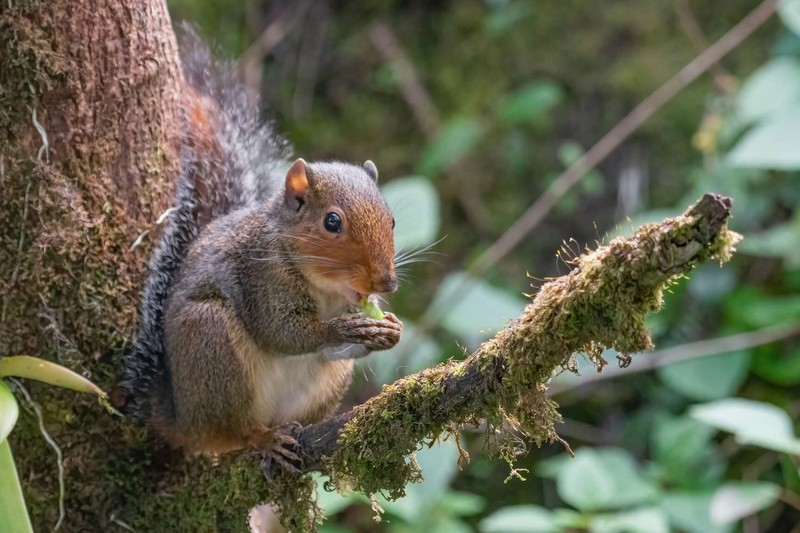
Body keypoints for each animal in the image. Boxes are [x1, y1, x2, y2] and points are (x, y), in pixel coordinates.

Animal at [115, 28, 404, 454]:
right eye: (332, 222)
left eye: (393, 220)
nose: (386, 282)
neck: (326, 289)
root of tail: (181, 418)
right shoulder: (261, 278)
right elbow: (282, 331)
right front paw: (346, 330)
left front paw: (388, 329)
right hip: (212, 341)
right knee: (232, 431)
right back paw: (261, 438)